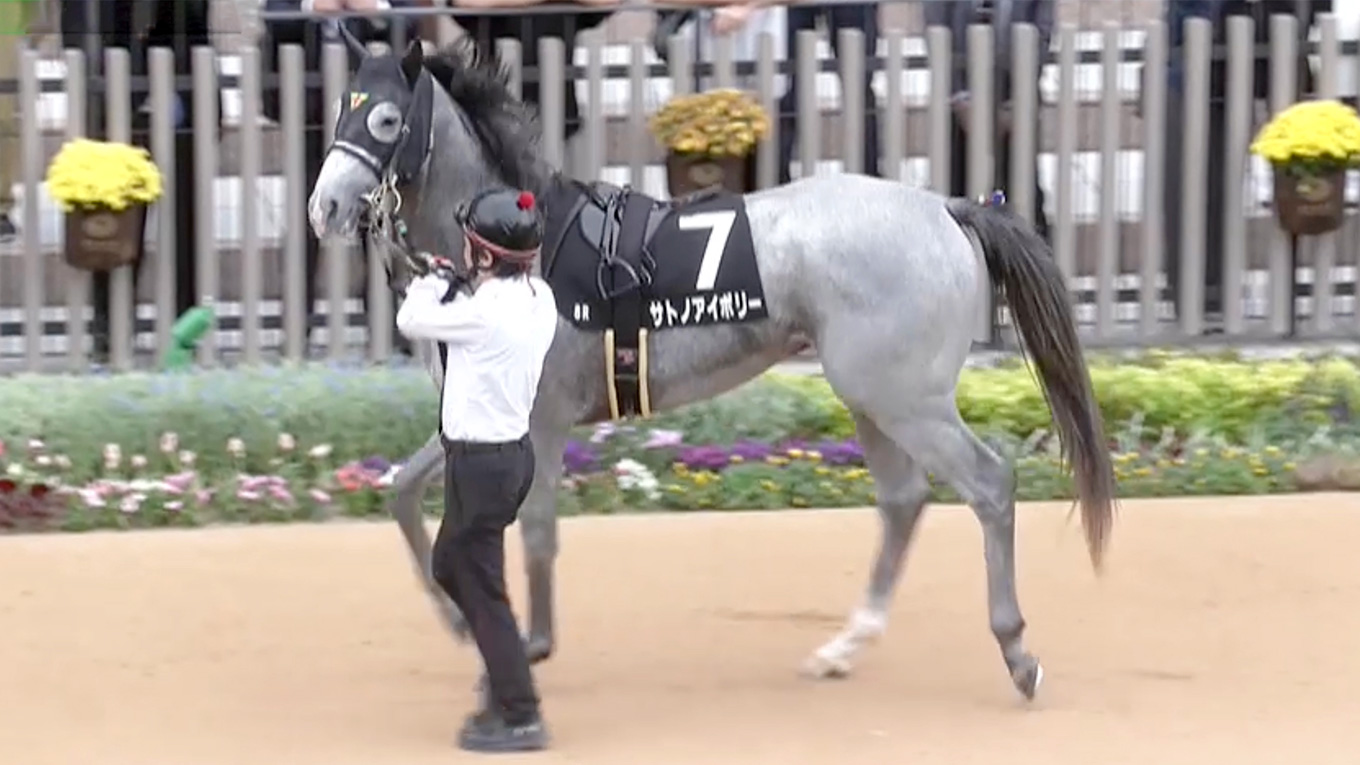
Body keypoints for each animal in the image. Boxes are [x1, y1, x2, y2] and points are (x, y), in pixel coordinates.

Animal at [306, 36, 1117, 700]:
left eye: (385, 120)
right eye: (342, 109)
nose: (324, 207)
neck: (527, 245)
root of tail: (949, 208)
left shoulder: (541, 417)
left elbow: (534, 530)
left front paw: (529, 645)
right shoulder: (479, 418)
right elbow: (401, 491)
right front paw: (456, 618)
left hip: (905, 396)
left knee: (989, 484)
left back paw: (1017, 653)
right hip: (872, 395)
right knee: (903, 499)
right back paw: (844, 647)